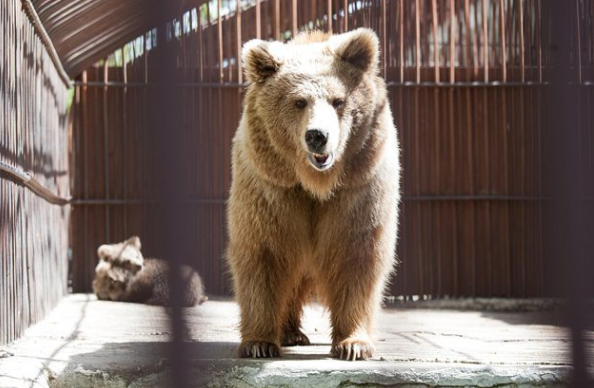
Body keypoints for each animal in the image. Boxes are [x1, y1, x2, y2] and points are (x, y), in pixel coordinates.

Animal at [225, 28, 398, 360]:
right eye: (299, 102)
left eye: (338, 100)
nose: (318, 136)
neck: (315, 184)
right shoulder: (272, 187)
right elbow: (264, 252)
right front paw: (259, 343)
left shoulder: (358, 188)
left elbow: (356, 253)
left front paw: (352, 344)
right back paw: (290, 332)